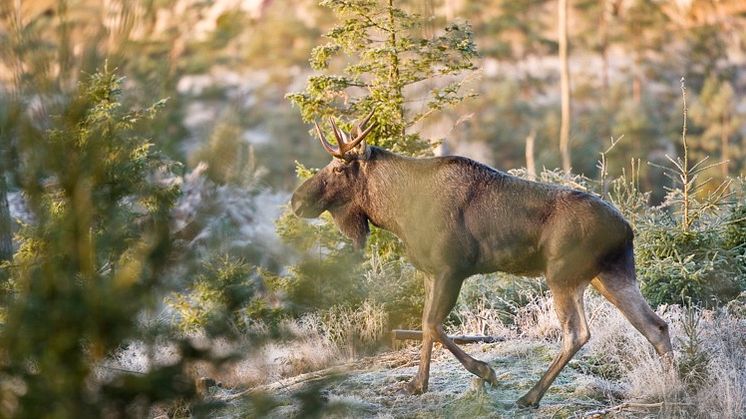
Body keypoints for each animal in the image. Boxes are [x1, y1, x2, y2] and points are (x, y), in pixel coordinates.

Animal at [290, 113, 668, 408]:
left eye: (339, 167)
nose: (296, 201)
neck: (398, 213)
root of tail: (627, 229)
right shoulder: (430, 271)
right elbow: (426, 325)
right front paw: (417, 384)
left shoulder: (452, 268)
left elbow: (432, 324)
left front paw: (486, 371)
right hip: (608, 274)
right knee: (655, 326)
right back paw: (672, 385)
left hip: (562, 274)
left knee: (576, 333)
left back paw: (530, 396)